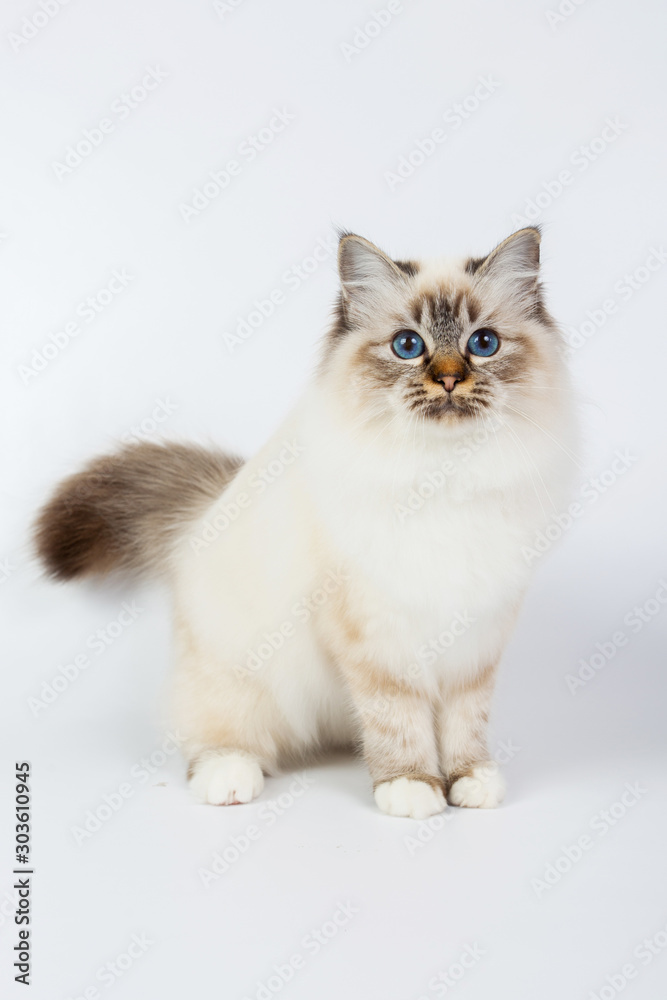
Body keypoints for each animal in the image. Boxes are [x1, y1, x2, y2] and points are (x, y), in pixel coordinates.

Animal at [34, 229, 576, 820]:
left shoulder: (476, 637)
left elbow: (464, 720)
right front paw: (411, 786)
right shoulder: (375, 636)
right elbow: (398, 720)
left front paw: (468, 780)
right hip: (239, 677)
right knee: (211, 734)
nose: (450, 379)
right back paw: (229, 778)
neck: (443, 476)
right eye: (408, 346)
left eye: (484, 343)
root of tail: (205, 515)